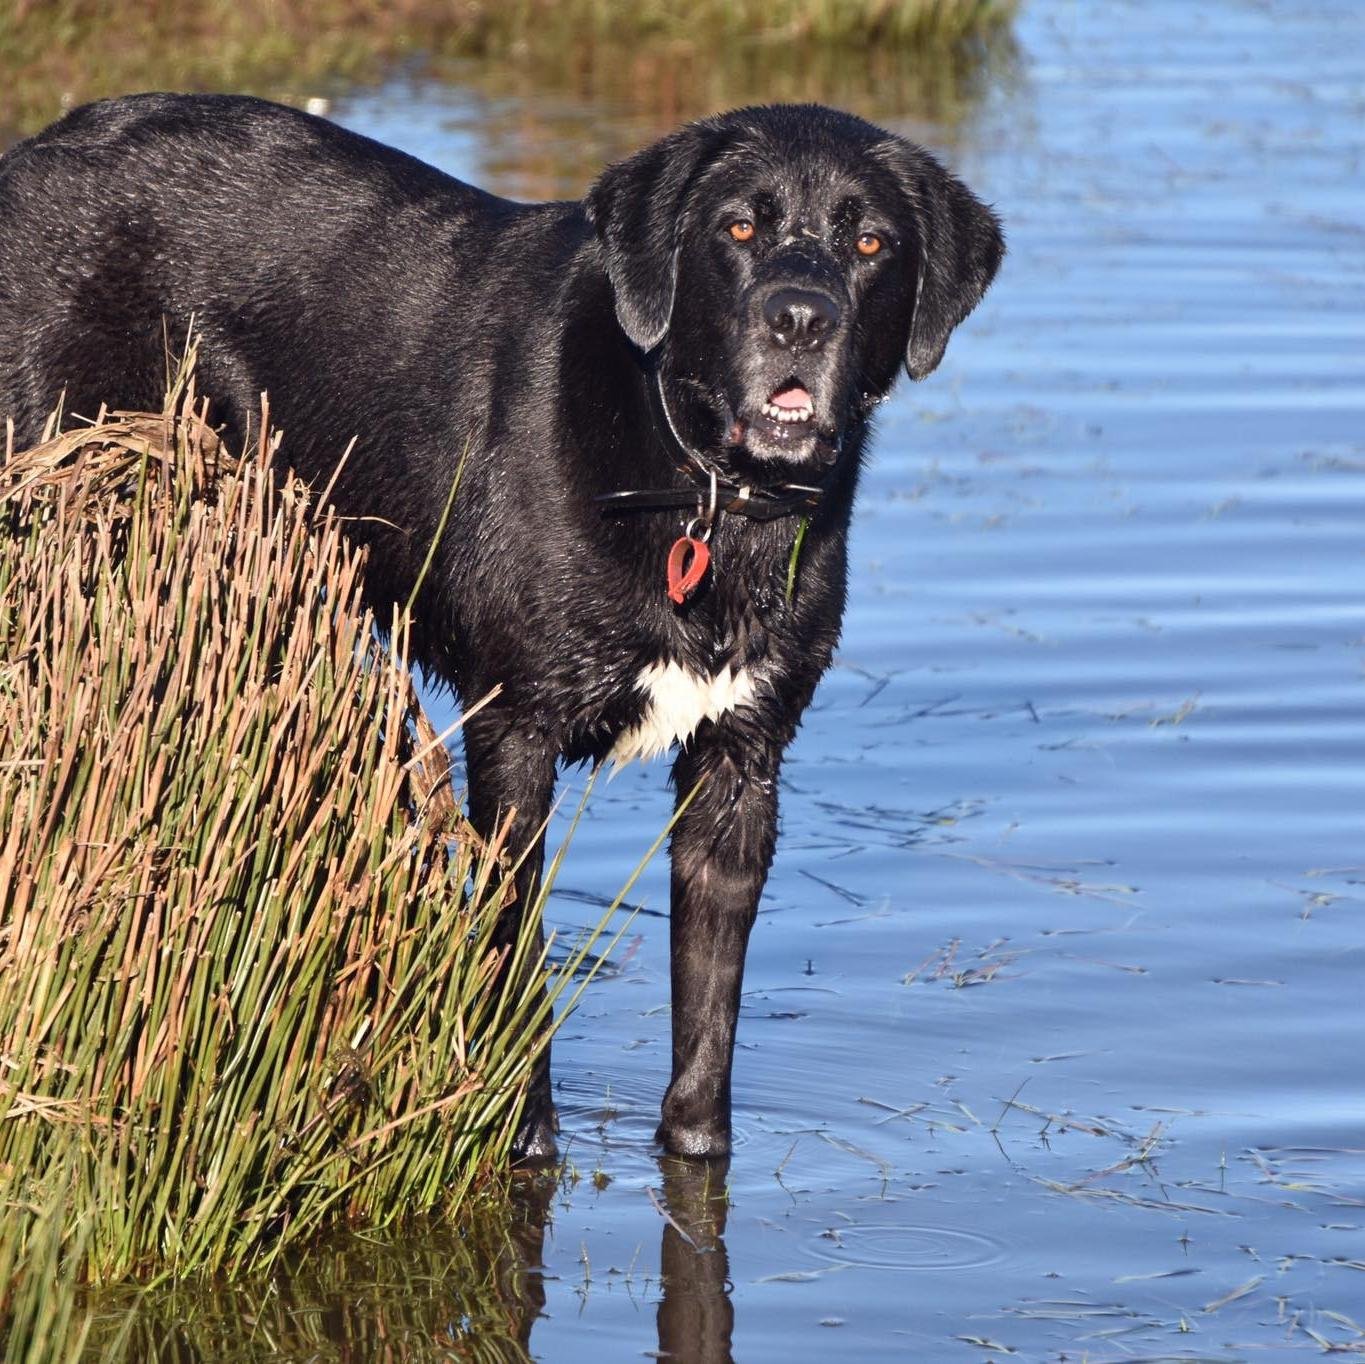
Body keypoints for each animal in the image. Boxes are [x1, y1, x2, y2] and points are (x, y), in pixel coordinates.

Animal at [0, 93, 1004, 1163]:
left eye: (869, 242)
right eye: (738, 229)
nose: (799, 317)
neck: (699, 490)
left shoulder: (741, 764)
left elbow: (709, 1014)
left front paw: (694, 1152)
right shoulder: (513, 732)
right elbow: (513, 946)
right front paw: (524, 1139)